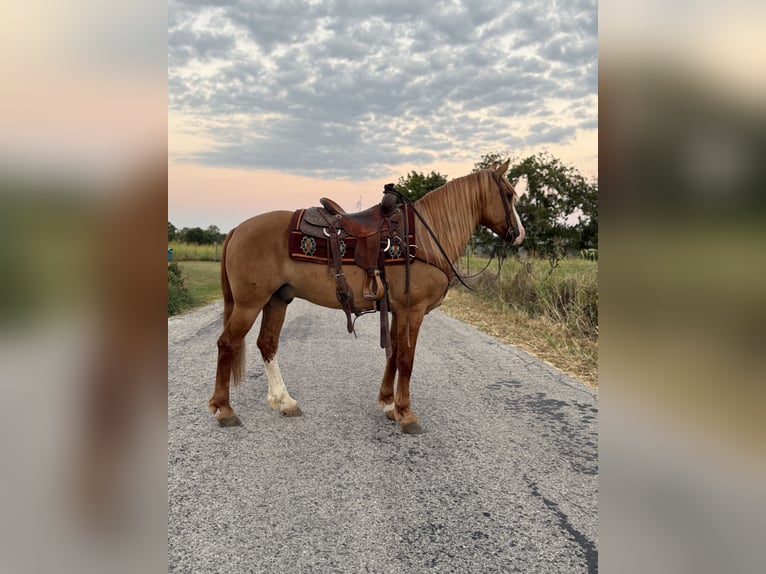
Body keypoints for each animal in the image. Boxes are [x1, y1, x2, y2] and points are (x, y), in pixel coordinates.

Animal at [209, 160, 525, 433]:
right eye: (509, 195)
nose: (519, 235)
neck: (425, 238)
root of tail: (237, 229)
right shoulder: (413, 310)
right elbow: (406, 358)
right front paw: (406, 413)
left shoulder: (397, 310)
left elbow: (394, 355)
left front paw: (388, 404)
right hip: (249, 304)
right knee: (227, 344)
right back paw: (224, 410)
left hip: (277, 299)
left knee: (267, 345)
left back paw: (284, 402)